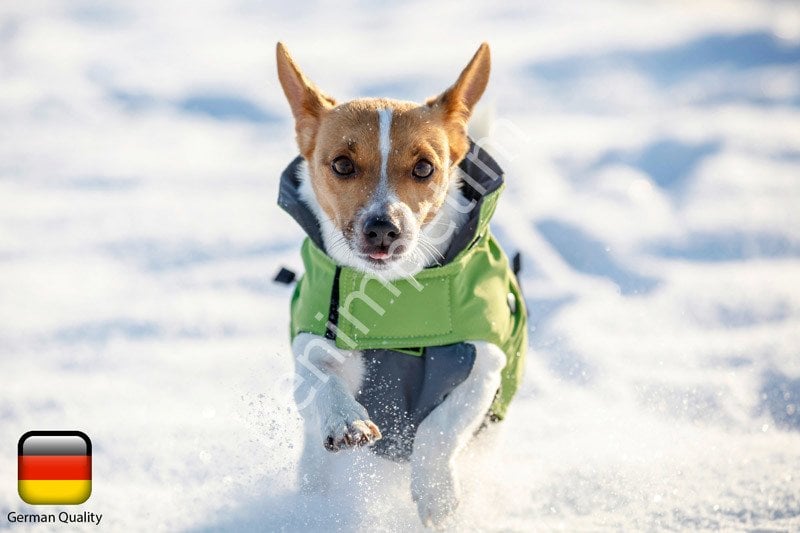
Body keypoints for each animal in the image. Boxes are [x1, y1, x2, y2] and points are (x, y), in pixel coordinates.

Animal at [276, 40, 524, 524]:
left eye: (425, 169)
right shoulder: (312, 342)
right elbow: (323, 380)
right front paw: (347, 421)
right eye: (342, 164)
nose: (382, 228)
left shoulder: (485, 365)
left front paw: (436, 494)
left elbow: (438, 432)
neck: (396, 295)